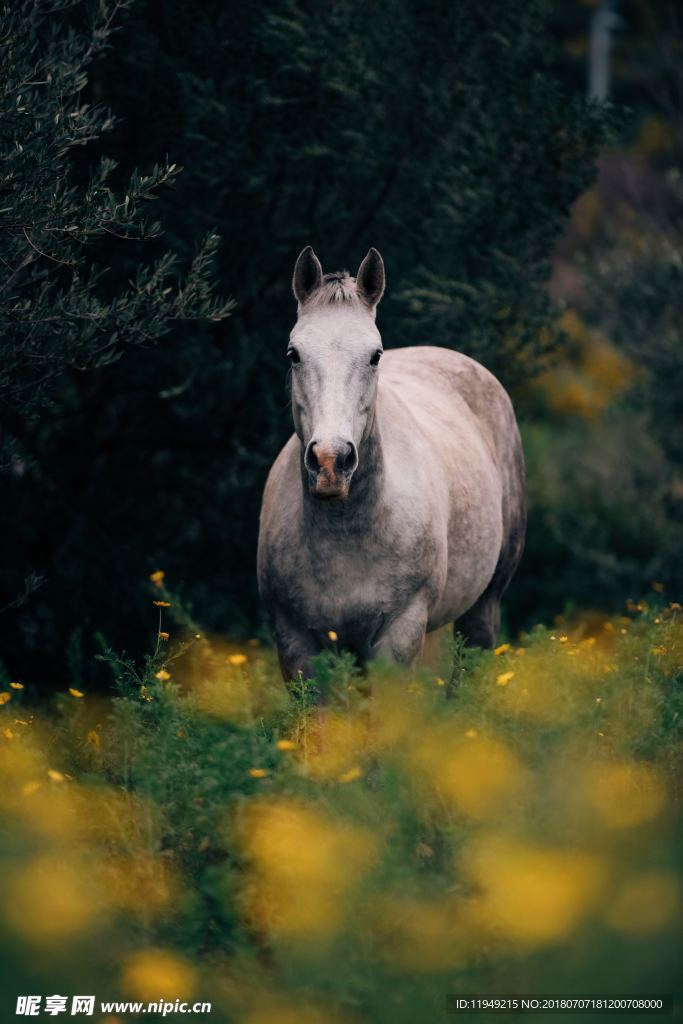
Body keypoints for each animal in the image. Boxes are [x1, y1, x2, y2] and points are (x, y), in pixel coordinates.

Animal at [259, 243, 528, 684]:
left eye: (375, 355)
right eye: (293, 353)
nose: (330, 461)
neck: (347, 533)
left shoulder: (398, 636)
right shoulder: (296, 642)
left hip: (483, 608)